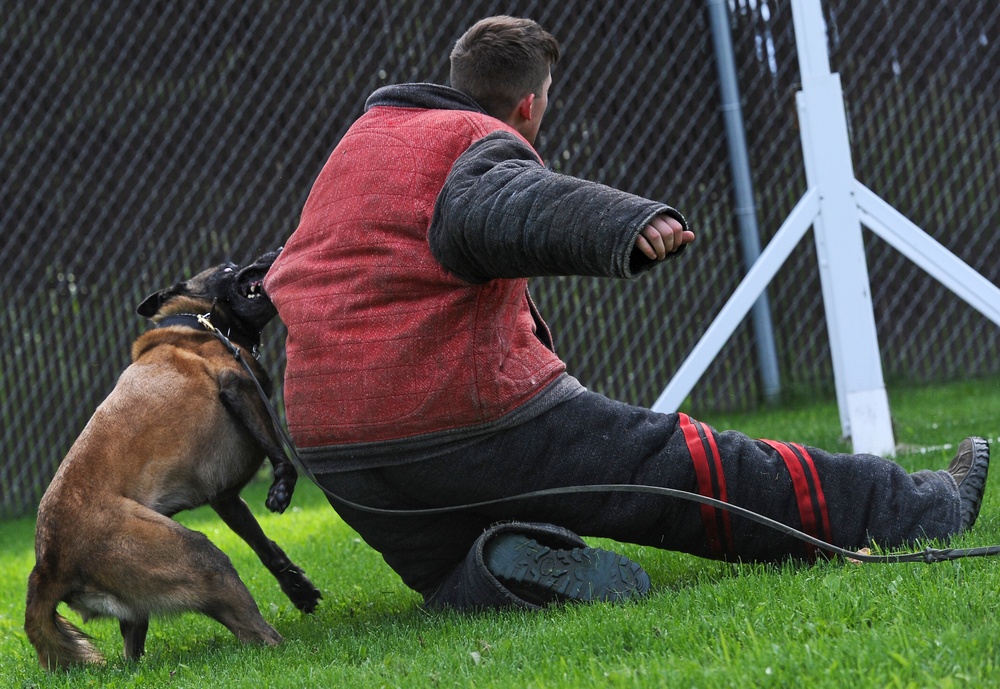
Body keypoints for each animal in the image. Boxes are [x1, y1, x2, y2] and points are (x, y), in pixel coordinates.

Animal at [24, 250, 320, 668]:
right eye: (228, 268)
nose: (274, 252)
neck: (200, 324)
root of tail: (47, 566)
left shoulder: (225, 498)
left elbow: (265, 546)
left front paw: (297, 587)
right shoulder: (237, 384)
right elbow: (278, 451)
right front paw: (282, 485)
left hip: (139, 604)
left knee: (133, 657)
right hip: (200, 556)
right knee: (257, 635)